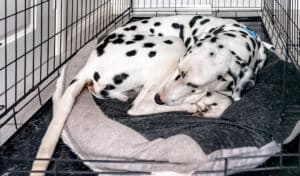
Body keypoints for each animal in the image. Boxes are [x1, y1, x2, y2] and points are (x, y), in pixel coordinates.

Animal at [29, 15, 276, 175]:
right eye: (179, 69)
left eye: (193, 82)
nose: (161, 98)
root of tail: (88, 66)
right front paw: (204, 103)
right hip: (172, 47)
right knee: (141, 106)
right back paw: (191, 104)